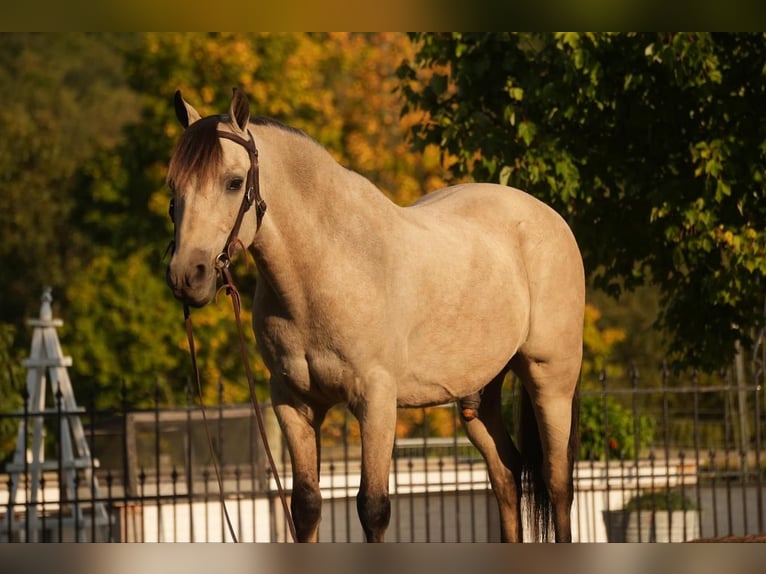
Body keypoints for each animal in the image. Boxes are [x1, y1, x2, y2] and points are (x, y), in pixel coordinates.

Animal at [168, 88, 584, 544]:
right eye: (173, 186)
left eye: (234, 182)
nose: (187, 275)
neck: (326, 266)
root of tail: (551, 218)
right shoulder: (293, 403)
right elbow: (306, 506)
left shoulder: (376, 400)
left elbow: (373, 508)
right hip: (478, 394)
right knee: (506, 475)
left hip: (550, 379)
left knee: (557, 480)